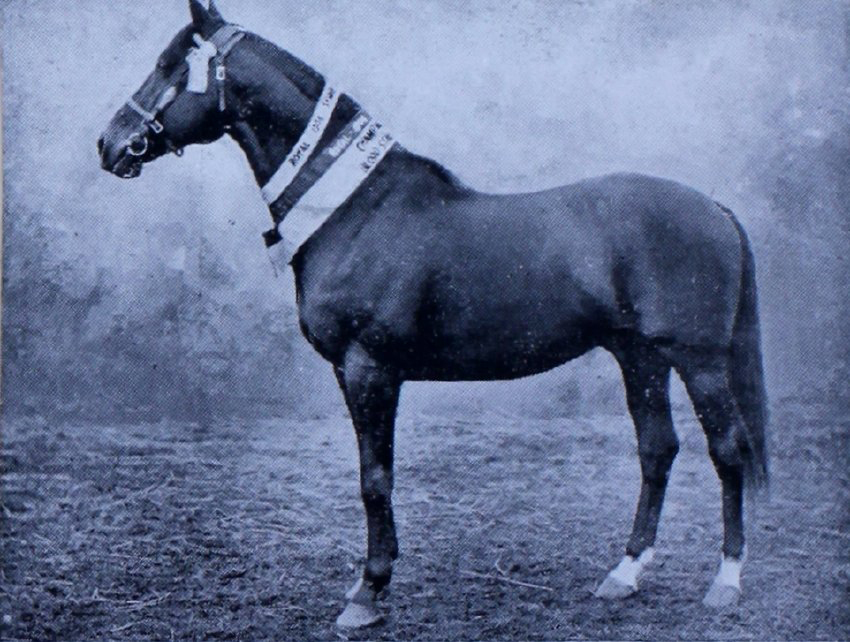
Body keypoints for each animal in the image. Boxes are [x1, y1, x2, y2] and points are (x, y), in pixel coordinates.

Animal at [99, 0, 769, 629]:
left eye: (169, 65)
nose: (109, 144)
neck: (357, 209)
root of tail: (714, 208)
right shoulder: (353, 372)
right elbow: (374, 474)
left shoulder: (369, 368)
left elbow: (375, 479)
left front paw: (368, 593)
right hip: (640, 356)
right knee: (657, 450)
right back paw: (625, 574)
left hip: (699, 361)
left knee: (728, 449)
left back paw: (726, 582)